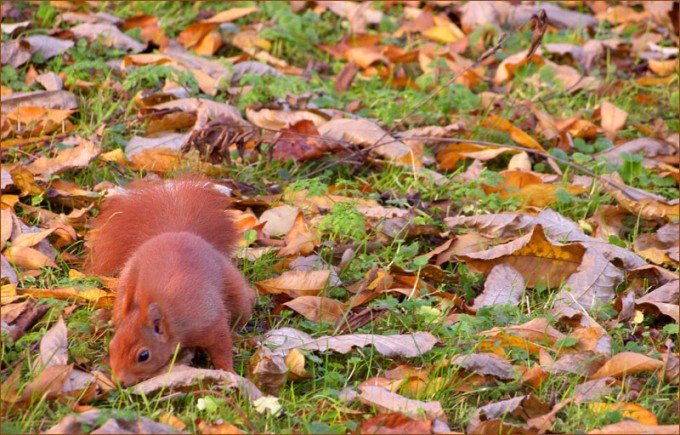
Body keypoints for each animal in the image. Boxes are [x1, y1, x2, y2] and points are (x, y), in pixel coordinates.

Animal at [88, 178, 255, 387]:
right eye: (112, 346)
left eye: (143, 356)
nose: (119, 382)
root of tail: (178, 232)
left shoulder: (209, 320)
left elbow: (221, 346)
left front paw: (228, 372)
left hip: (236, 292)